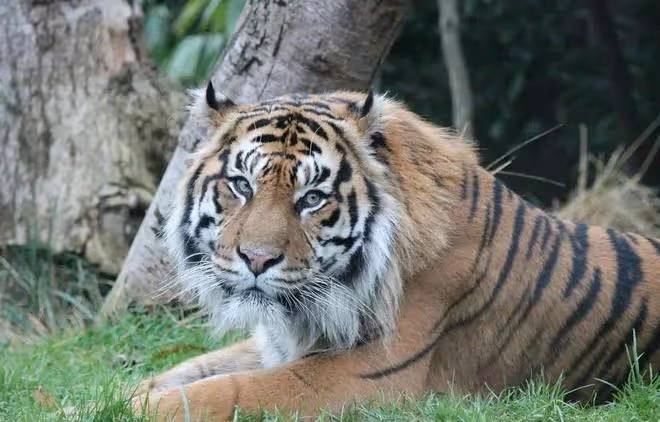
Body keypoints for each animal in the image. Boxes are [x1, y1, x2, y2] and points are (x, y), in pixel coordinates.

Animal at [133, 82, 660, 421]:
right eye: (242, 185)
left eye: (312, 198)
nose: (257, 259)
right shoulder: (278, 344)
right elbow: (189, 371)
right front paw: (129, 392)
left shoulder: (373, 370)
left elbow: (229, 390)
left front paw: (139, 407)